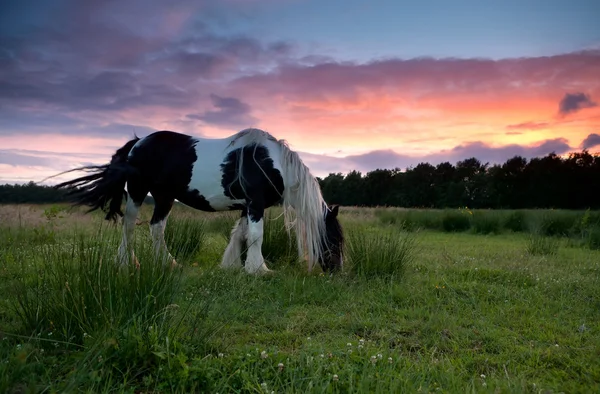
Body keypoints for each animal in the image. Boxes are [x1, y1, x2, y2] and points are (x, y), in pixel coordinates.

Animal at [51, 129, 344, 274]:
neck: (272, 163)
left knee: (156, 228)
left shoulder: (246, 206)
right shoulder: (256, 204)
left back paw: (168, 263)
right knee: (130, 226)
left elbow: (240, 234)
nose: (336, 270)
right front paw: (258, 269)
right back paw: (127, 264)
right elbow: (256, 236)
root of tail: (137, 143)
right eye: (335, 239)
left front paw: (232, 265)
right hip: (137, 192)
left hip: (164, 197)